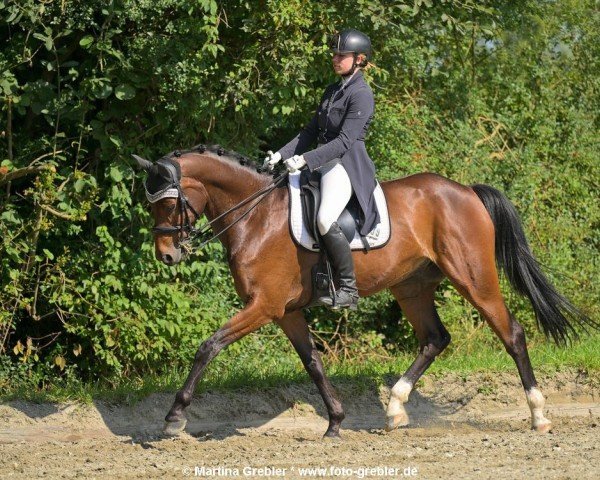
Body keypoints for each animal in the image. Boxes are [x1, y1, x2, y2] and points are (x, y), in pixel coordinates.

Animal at [132, 144, 596, 436]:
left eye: (168, 202)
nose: (167, 256)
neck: (256, 214)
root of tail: (465, 191)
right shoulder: (286, 311)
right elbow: (314, 364)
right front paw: (336, 422)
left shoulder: (264, 306)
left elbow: (208, 346)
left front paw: (174, 417)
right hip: (412, 287)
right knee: (435, 339)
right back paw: (395, 408)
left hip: (475, 278)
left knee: (511, 333)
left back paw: (538, 416)